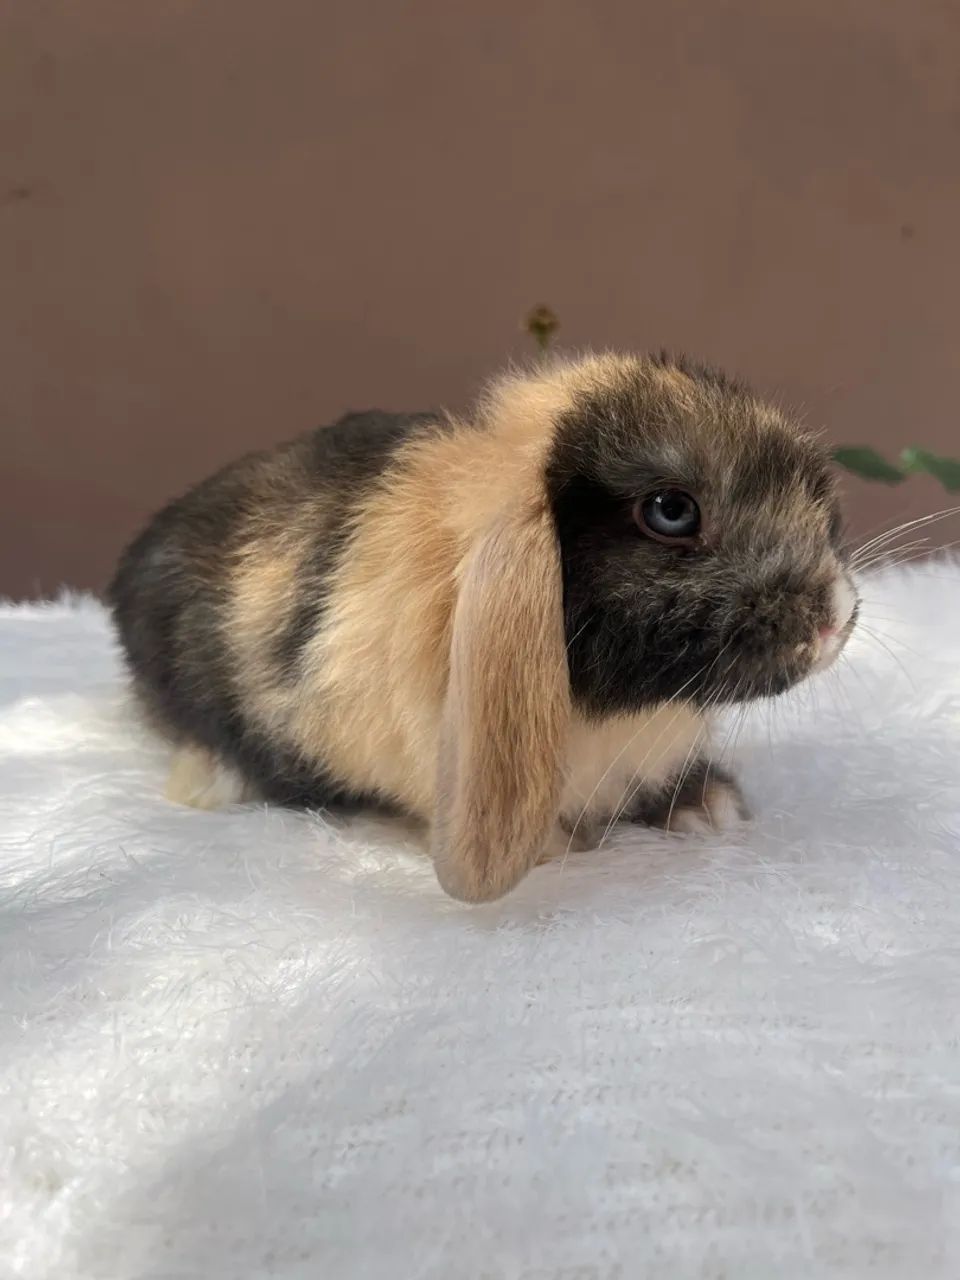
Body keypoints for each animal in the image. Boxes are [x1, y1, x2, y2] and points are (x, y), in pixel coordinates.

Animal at [109, 352, 858, 902]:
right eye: (670, 511)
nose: (835, 617)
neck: (614, 710)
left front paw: (709, 807)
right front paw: (559, 847)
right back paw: (212, 781)